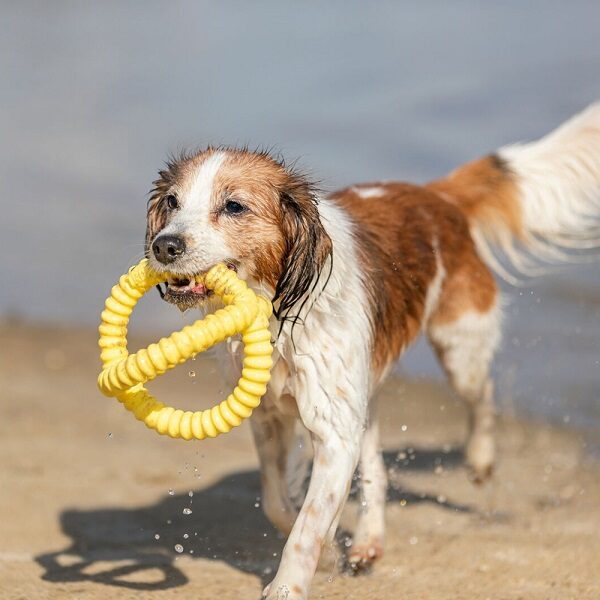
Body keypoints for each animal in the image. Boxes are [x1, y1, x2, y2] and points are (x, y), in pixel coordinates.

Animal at [145, 105, 600, 596]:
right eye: (172, 202)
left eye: (233, 206)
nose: (164, 245)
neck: (278, 312)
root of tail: (434, 196)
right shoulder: (270, 417)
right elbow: (278, 503)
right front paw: (328, 554)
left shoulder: (334, 431)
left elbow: (305, 527)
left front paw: (288, 586)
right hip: (368, 390)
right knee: (377, 472)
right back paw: (368, 542)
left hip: (459, 348)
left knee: (483, 397)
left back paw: (479, 460)